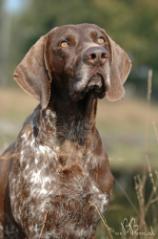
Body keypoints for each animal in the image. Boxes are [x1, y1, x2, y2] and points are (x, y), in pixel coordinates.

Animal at [0, 22, 131, 239]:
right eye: (64, 43)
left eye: (101, 39)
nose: (98, 54)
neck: (73, 135)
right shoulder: (38, 223)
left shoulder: (90, 223)